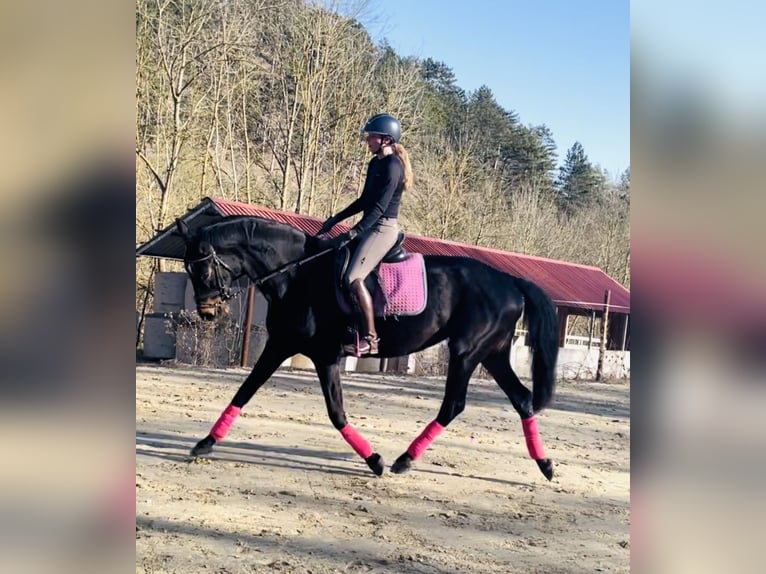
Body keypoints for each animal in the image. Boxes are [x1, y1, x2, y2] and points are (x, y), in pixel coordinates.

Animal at [177, 216, 560, 482]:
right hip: (491, 354)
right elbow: (244, 392)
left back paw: (404, 460)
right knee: (522, 399)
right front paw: (205, 443)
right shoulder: (282, 345)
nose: (206, 312)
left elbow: (335, 413)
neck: (297, 276)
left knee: (454, 405)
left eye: (202, 269)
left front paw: (374, 460)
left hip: (467, 352)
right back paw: (545, 465)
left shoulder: (319, 355)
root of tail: (510, 281)